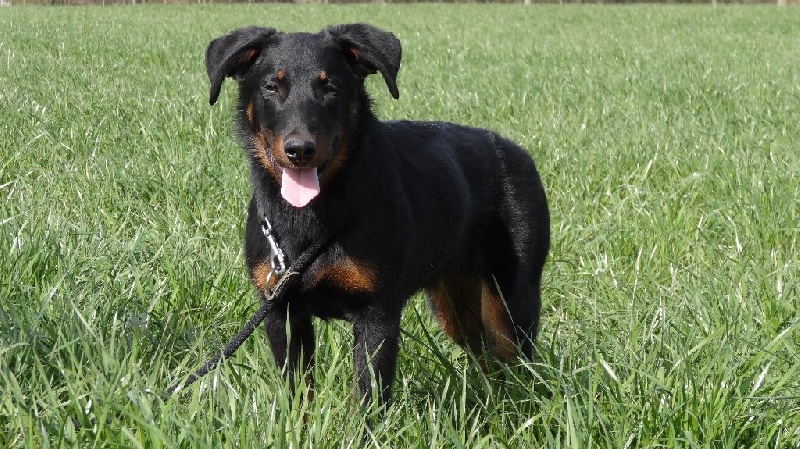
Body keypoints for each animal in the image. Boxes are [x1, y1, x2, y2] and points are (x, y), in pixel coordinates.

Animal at [205, 23, 550, 408]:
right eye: (271, 86)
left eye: (330, 87)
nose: (300, 149)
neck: (313, 219)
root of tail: (520, 154)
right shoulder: (282, 312)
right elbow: (298, 394)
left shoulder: (377, 315)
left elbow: (368, 398)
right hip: (455, 304)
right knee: (488, 359)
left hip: (510, 300)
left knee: (518, 363)